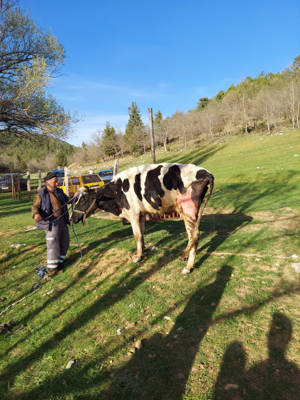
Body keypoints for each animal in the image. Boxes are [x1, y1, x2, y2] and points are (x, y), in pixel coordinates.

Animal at [71, 164, 214, 274]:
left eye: (83, 200)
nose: (71, 218)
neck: (116, 193)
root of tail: (205, 172)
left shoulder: (133, 214)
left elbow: (137, 235)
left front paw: (137, 257)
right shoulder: (142, 214)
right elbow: (142, 233)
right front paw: (143, 250)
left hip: (187, 210)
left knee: (194, 234)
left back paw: (186, 264)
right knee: (194, 236)